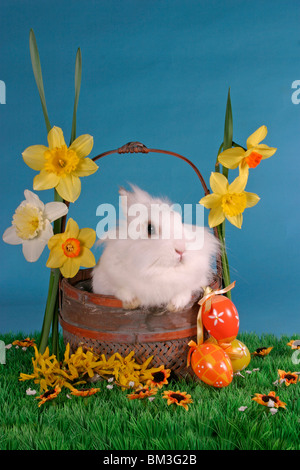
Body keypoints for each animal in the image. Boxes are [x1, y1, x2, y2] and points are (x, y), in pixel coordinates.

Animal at [92, 185, 220, 312]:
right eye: (150, 229)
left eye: (180, 221)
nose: (181, 249)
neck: (158, 271)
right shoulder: (105, 282)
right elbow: (121, 290)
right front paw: (131, 302)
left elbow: (185, 291)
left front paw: (175, 306)